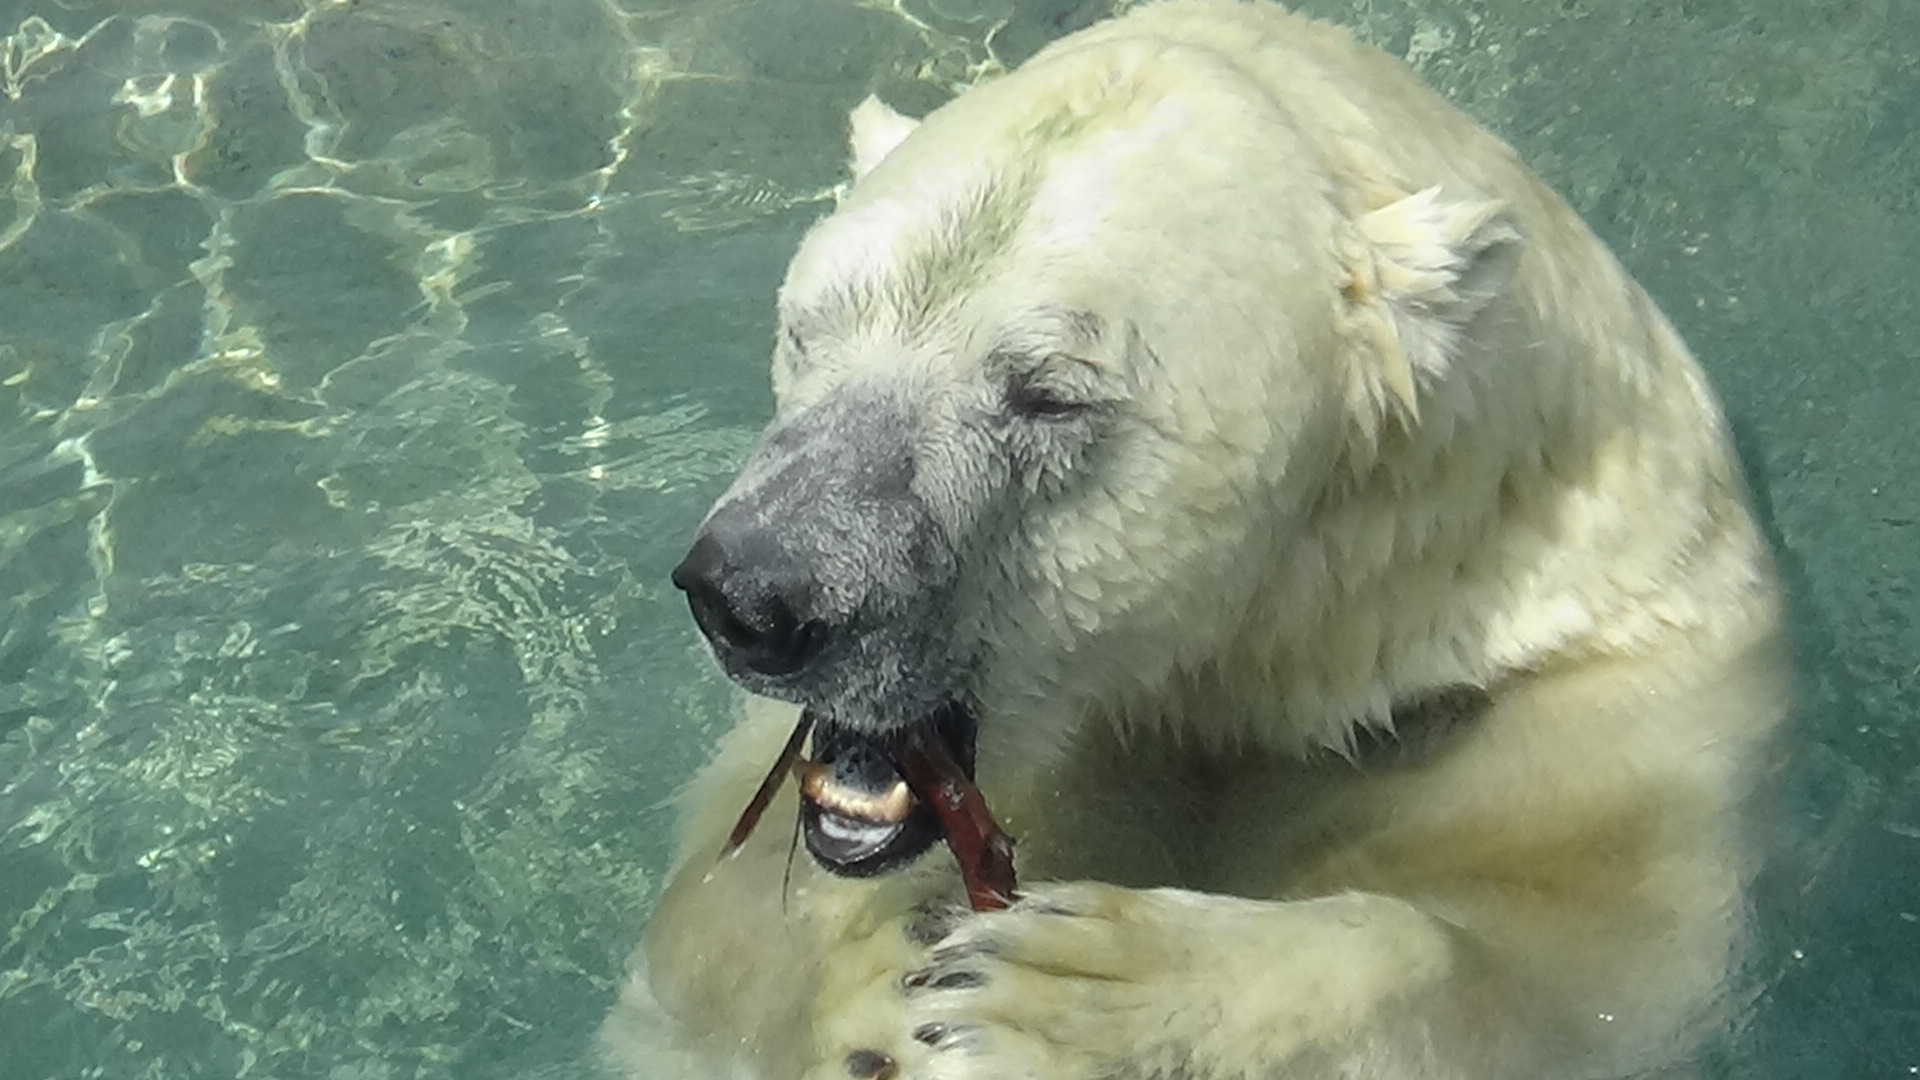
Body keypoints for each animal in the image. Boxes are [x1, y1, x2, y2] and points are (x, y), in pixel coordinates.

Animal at [604, 2, 1787, 1078]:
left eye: (1047, 394)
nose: (754, 597)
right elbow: (705, 944)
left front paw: (1069, 989)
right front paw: (877, 975)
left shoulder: (1564, 691)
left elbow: (1574, 969)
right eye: (809, 327)